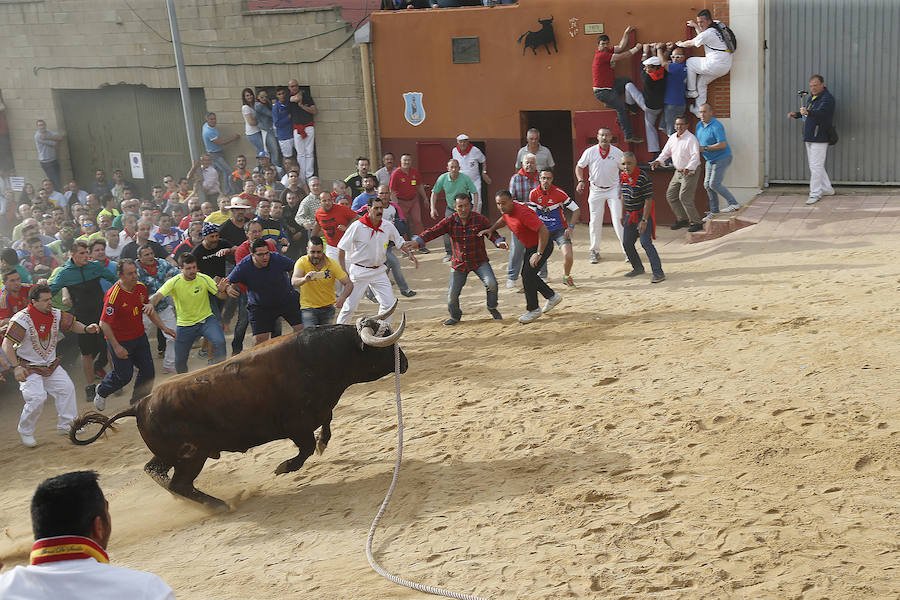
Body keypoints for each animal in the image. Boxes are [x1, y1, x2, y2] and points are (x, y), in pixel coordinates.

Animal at [71, 304, 408, 510]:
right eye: (385, 345)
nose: (403, 362)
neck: (324, 356)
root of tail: (141, 404)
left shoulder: (320, 411)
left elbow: (326, 427)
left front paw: (323, 444)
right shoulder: (297, 425)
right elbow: (305, 449)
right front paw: (284, 467)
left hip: (171, 455)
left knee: (156, 472)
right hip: (191, 457)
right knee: (180, 484)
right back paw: (220, 505)